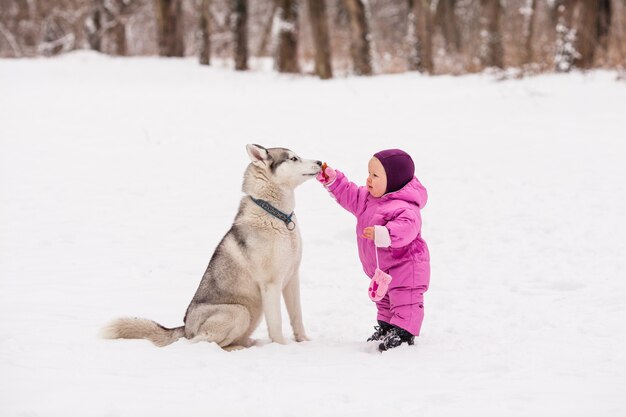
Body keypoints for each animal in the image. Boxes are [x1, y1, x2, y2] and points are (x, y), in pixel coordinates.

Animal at [101, 145, 322, 350]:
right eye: (293, 158)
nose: (320, 162)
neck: (278, 216)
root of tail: (185, 328)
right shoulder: (271, 284)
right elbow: (276, 324)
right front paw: (282, 348)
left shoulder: (292, 278)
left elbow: (296, 316)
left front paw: (303, 342)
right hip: (239, 311)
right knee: (199, 343)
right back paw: (235, 348)